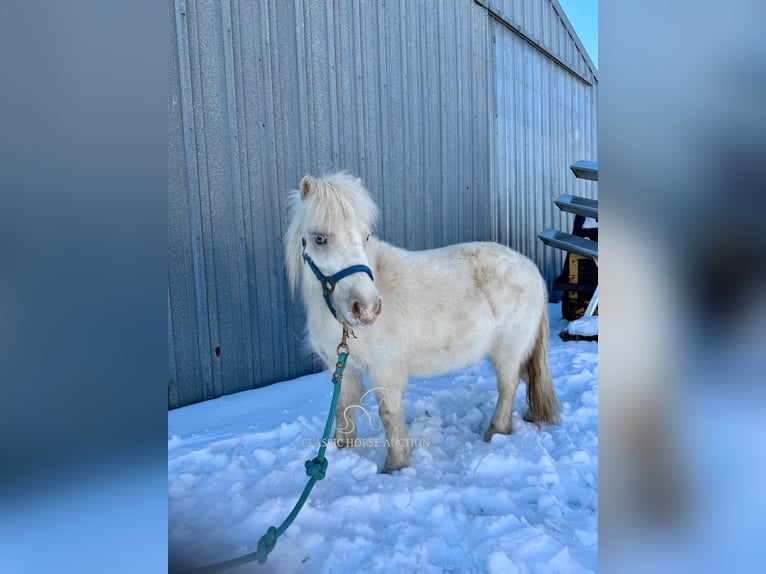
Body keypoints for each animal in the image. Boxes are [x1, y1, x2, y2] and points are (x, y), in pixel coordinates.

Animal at [284, 172, 560, 472]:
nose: (367, 308)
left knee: (508, 386)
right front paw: (341, 450)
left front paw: (394, 467)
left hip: (506, 352)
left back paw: (495, 432)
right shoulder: (345, 369)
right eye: (320, 238)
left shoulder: (385, 371)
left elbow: (388, 414)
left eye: (365, 236)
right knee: (528, 378)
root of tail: (531, 268)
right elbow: (342, 408)